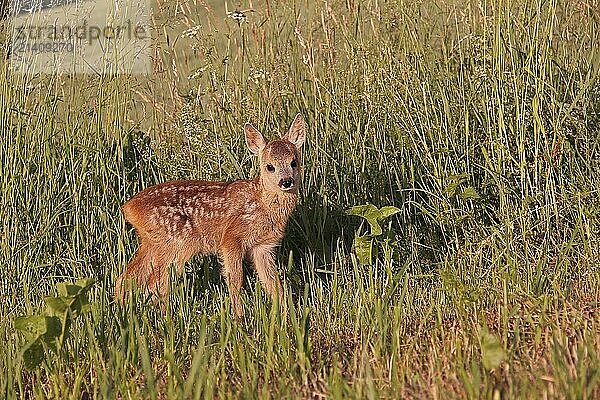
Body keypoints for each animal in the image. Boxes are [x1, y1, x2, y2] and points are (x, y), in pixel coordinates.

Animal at [115, 114, 308, 318]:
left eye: (294, 162)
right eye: (269, 166)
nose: (286, 181)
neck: (262, 203)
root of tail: (129, 208)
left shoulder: (263, 247)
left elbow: (273, 283)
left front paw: (288, 315)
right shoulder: (231, 238)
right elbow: (235, 281)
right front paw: (239, 317)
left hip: (153, 244)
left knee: (127, 278)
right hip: (176, 244)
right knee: (155, 283)